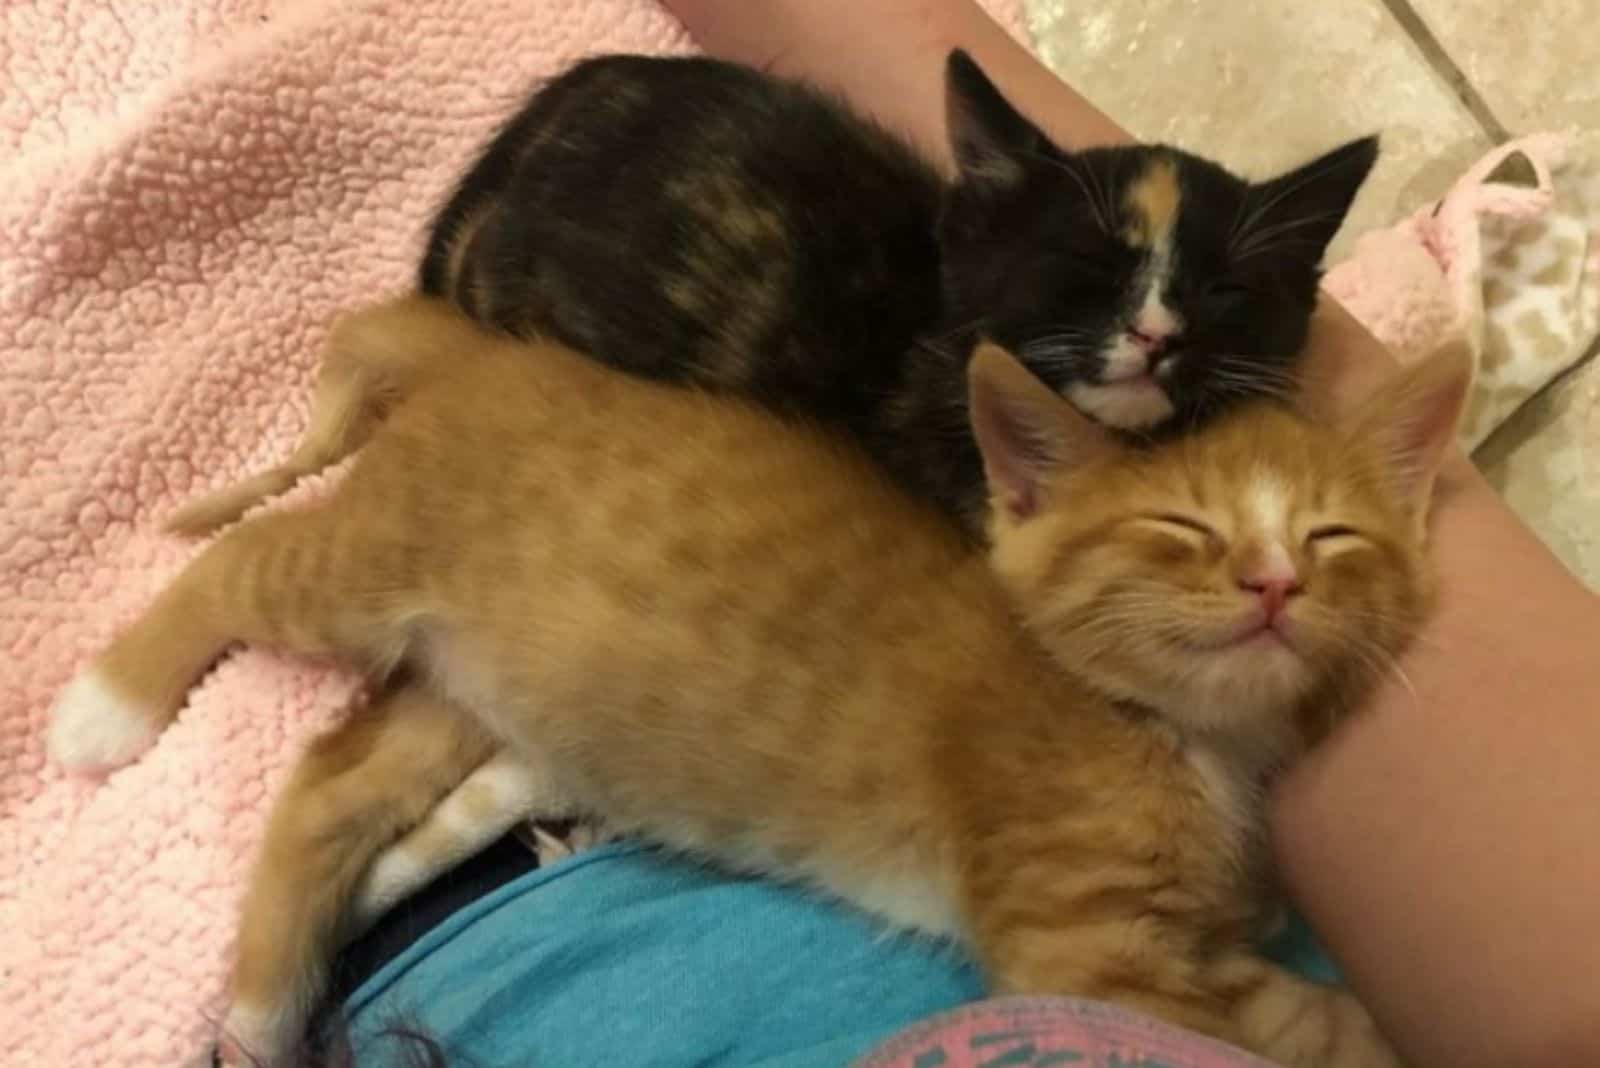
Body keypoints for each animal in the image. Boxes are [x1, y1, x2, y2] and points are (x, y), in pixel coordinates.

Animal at [50, 298, 1465, 1068]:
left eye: (1333, 538)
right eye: (1180, 530)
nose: (1274, 584)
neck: (1183, 737)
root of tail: (491, 354)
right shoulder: (1084, 953)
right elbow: (1282, 1035)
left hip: (476, 682)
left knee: (332, 790)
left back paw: (265, 1004)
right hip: (367, 565)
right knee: (234, 562)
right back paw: (105, 708)